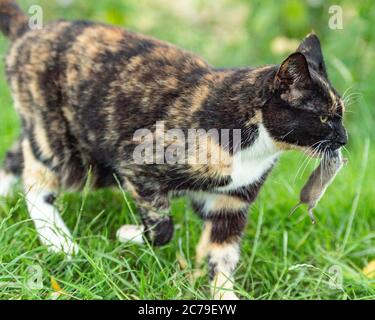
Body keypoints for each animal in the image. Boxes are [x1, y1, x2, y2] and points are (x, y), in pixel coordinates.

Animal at [0, 0, 348, 300]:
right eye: (323, 118)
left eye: (342, 114)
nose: (344, 139)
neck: (255, 145)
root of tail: (30, 31)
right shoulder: (140, 164)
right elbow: (161, 230)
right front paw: (127, 233)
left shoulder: (230, 203)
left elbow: (222, 256)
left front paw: (223, 294)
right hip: (67, 148)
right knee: (36, 181)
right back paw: (60, 243)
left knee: (15, 155)